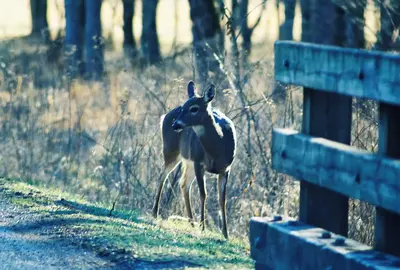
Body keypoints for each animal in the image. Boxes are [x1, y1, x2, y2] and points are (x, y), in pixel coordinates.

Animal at [152, 80, 236, 240]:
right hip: (171, 150)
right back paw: (155, 212)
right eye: (183, 108)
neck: (218, 149)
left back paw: (191, 222)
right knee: (162, 176)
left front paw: (226, 234)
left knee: (183, 183)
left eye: (194, 109)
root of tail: (165, 116)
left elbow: (222, 200)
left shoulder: (226, 168)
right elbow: (203, 194)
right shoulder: (199, 162)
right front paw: (203, 227)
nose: (175, 124)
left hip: (188, 160)